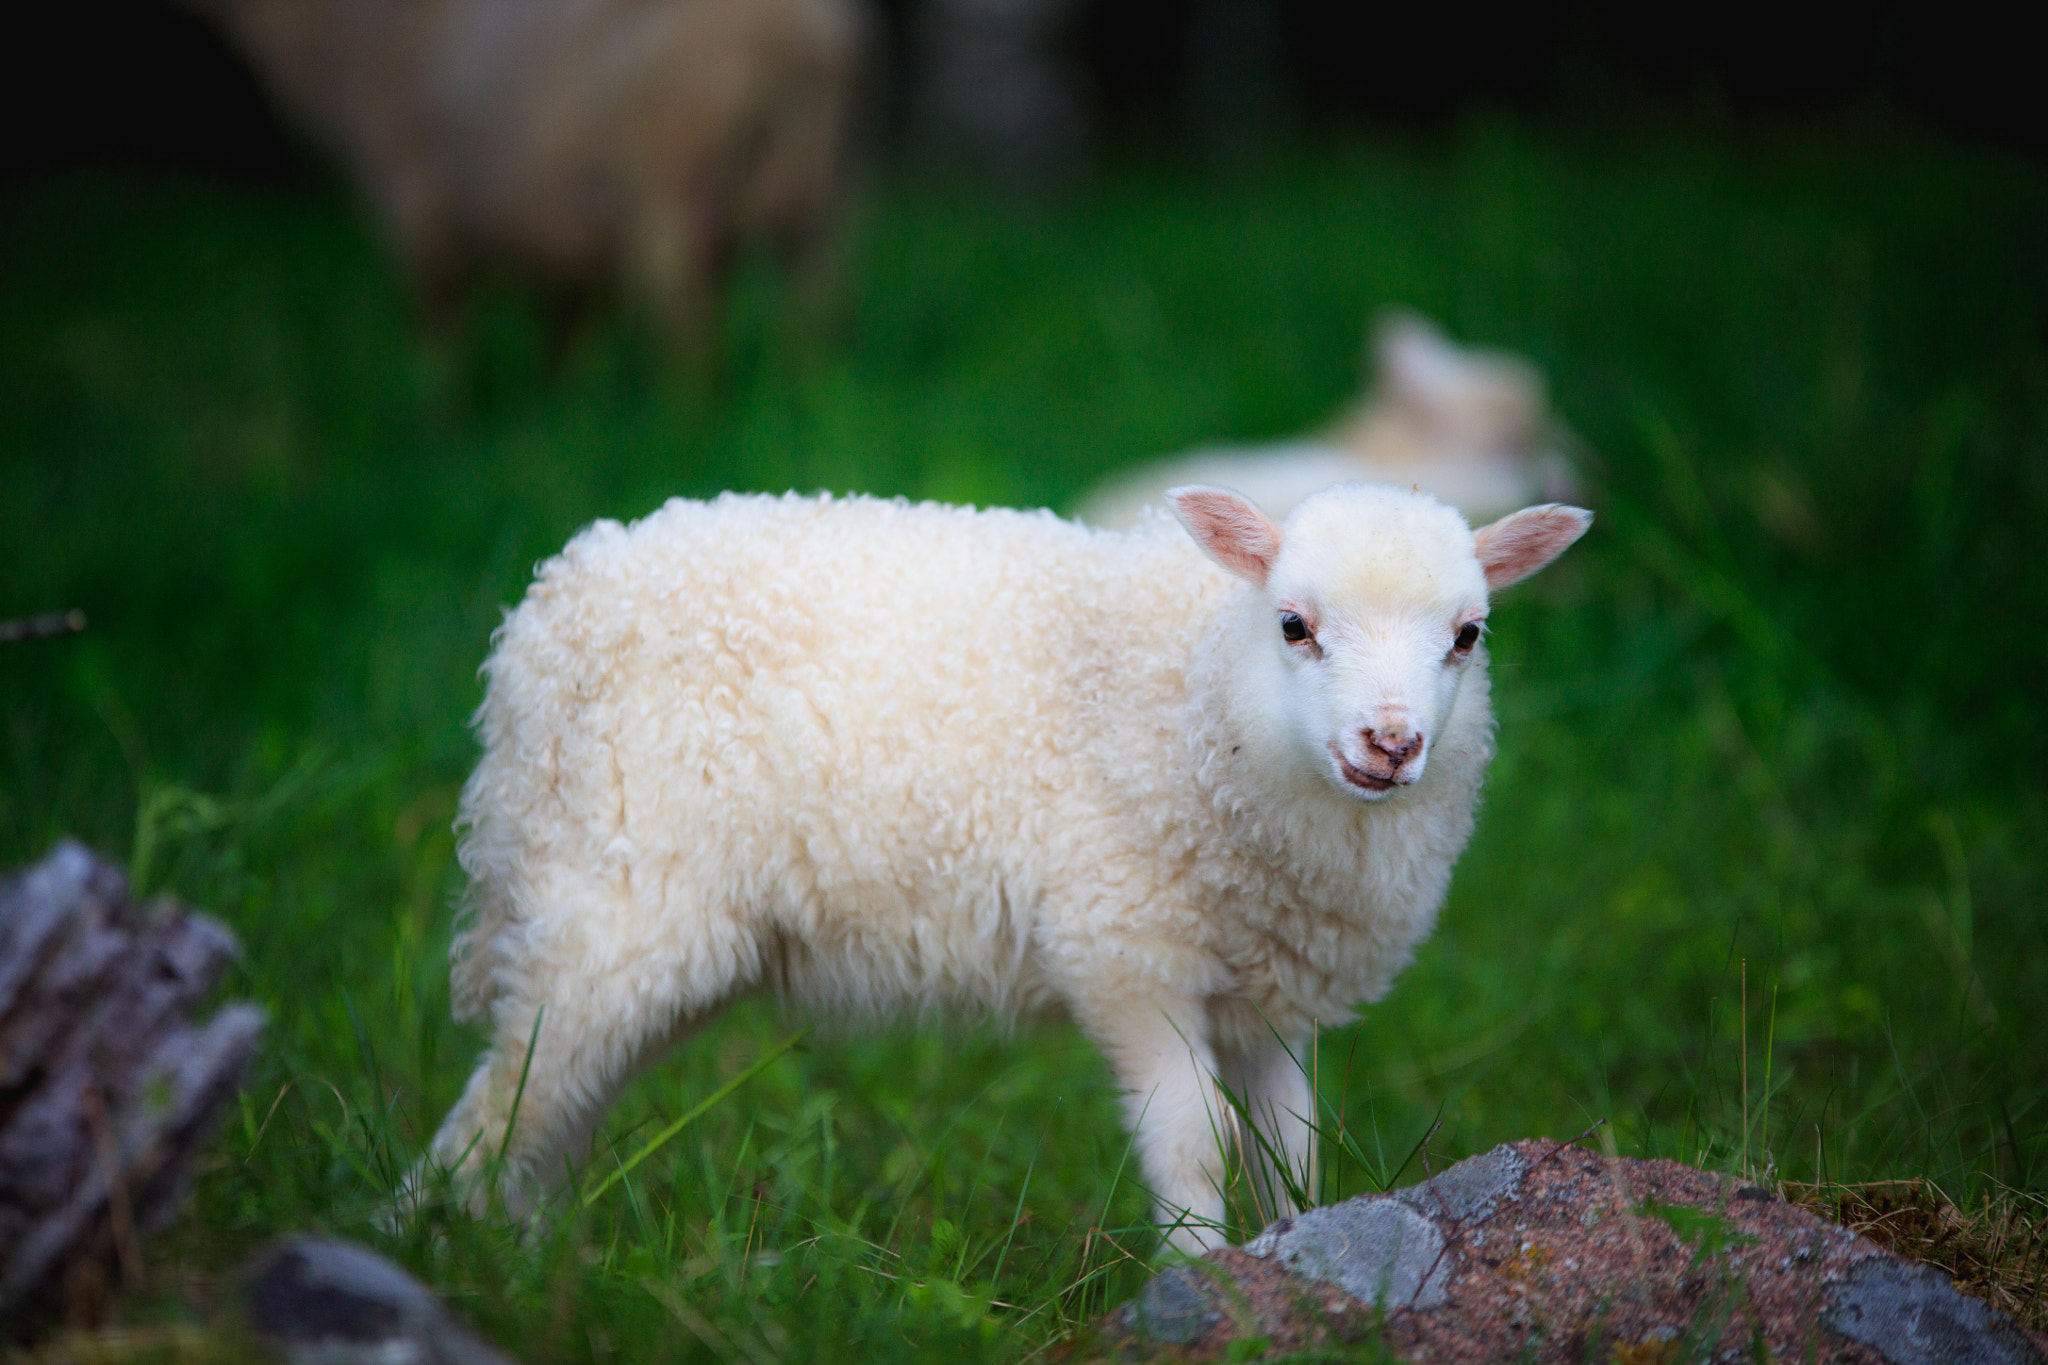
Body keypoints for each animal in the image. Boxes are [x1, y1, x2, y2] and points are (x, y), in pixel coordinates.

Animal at [183, 0, 863, 339]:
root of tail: (803, 35)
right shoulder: (558, 236)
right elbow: (563, 331)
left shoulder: (414, 195)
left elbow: (438, 325)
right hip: (806, 183)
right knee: (812, 296)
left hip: (669, 179)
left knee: (683, 310)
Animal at [418, 482, 1590, 1252]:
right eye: (1294, 625)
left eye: (1468, 635)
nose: (1390, 745)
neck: (1196, 695)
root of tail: (547, 614)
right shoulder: (1127, 950)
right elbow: (1193, 1142)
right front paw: (1202, 1277)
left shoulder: (1267, 985)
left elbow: (1291, 1148)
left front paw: (1294, 1256)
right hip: (616, 892)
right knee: (499, 1106)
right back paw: (437, 1244)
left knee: (554, 1104)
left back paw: (527, 1260)